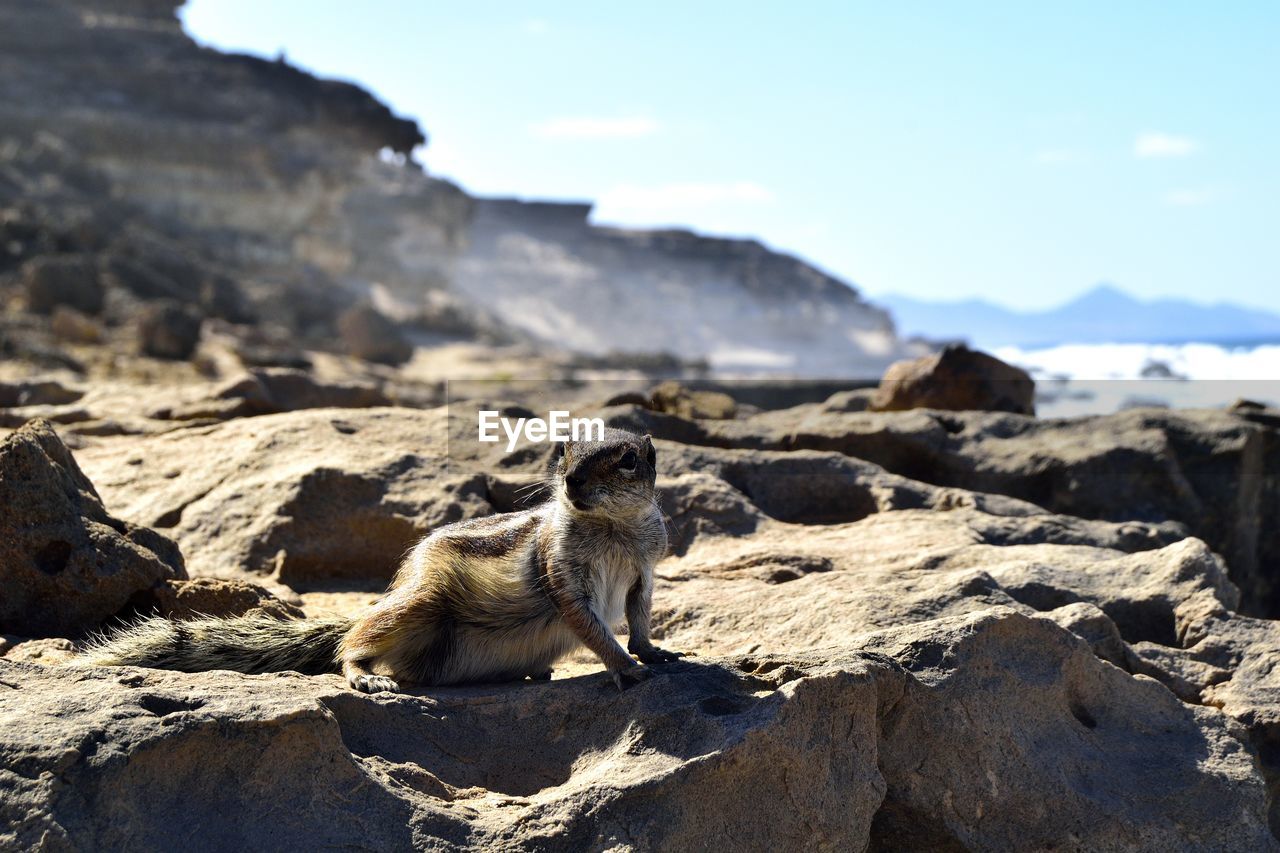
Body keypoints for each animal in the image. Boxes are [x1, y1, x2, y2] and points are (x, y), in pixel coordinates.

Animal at [78, 427, 680, 686]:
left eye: (627, 460)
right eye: (563, 450)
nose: (572, 480)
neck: (615, 529)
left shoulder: (644, 570)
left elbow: (640, 614)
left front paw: (654, 653)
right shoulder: (561, 568)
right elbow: (588, 622)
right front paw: (624, 667)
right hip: (420, 602)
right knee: (350, 644)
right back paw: (364, 675)